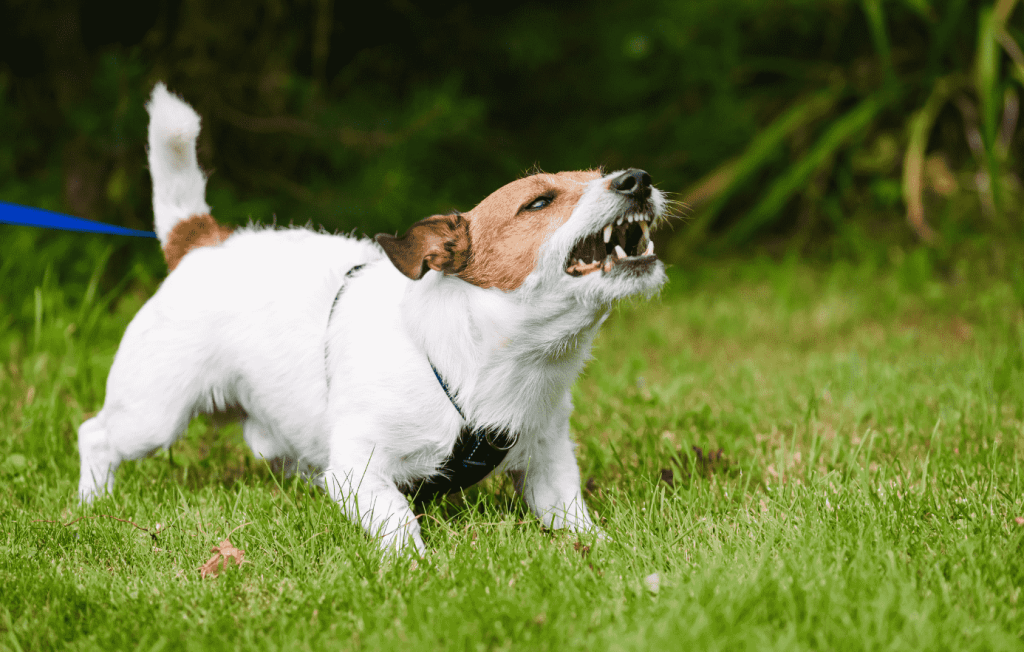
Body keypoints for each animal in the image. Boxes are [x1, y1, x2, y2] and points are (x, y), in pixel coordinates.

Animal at [75, 83, 667, 552]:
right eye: (539, 203)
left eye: (601, 174)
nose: (638, 179)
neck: (487, 361)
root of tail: (202, 241)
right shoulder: (358, 469)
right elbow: (397, 519)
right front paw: (417, 567)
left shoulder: (548, 461)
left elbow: (569, 512)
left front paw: (600, 551)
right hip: (152, 413)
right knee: (95, 435)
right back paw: (91, 504)